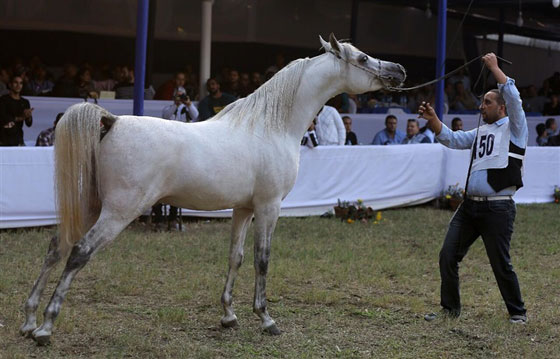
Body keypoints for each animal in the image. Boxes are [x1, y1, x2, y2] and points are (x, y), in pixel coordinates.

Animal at [19, 34, 404, 346]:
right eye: (363, 59)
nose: (398, 70)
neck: (271, 126)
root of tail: (111, 121)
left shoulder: (243, 209)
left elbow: (236, 256)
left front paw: (229, 316)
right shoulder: (269, 207)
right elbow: (262, 259)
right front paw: (266, 319)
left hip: (91, 205)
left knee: (56, 247)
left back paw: (28, 320)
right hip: (118, 211)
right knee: (79, 252)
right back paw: (45, 329)